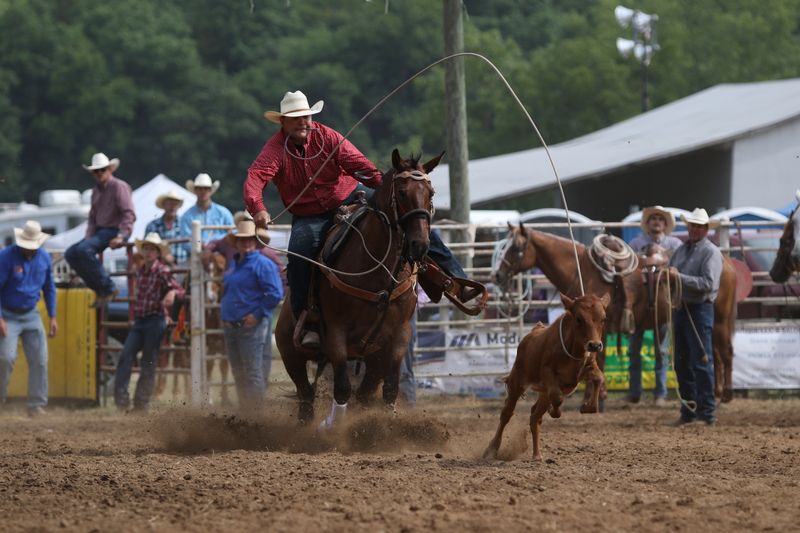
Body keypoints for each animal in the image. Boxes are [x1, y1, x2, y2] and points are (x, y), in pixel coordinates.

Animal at [276, 149, 450, 424]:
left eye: (430, 193)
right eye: (402, 192)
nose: (420, 245)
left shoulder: (399, 335)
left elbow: (390, 389)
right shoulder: (336, 333)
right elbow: (342, 389)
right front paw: (333, 426)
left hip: (373, 358)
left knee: (364, 393)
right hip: (290, 352)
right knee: (306, 397)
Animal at [496, 223, 748, 404]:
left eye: (516, 248)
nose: (497, 275)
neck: (581, 269)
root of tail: (725, 260)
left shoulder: (599, 328)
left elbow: (598, 358)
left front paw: (597, 396)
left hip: (720, 320)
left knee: (725, 353)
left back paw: (726, 394)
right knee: (715, 354)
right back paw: (717, 393)